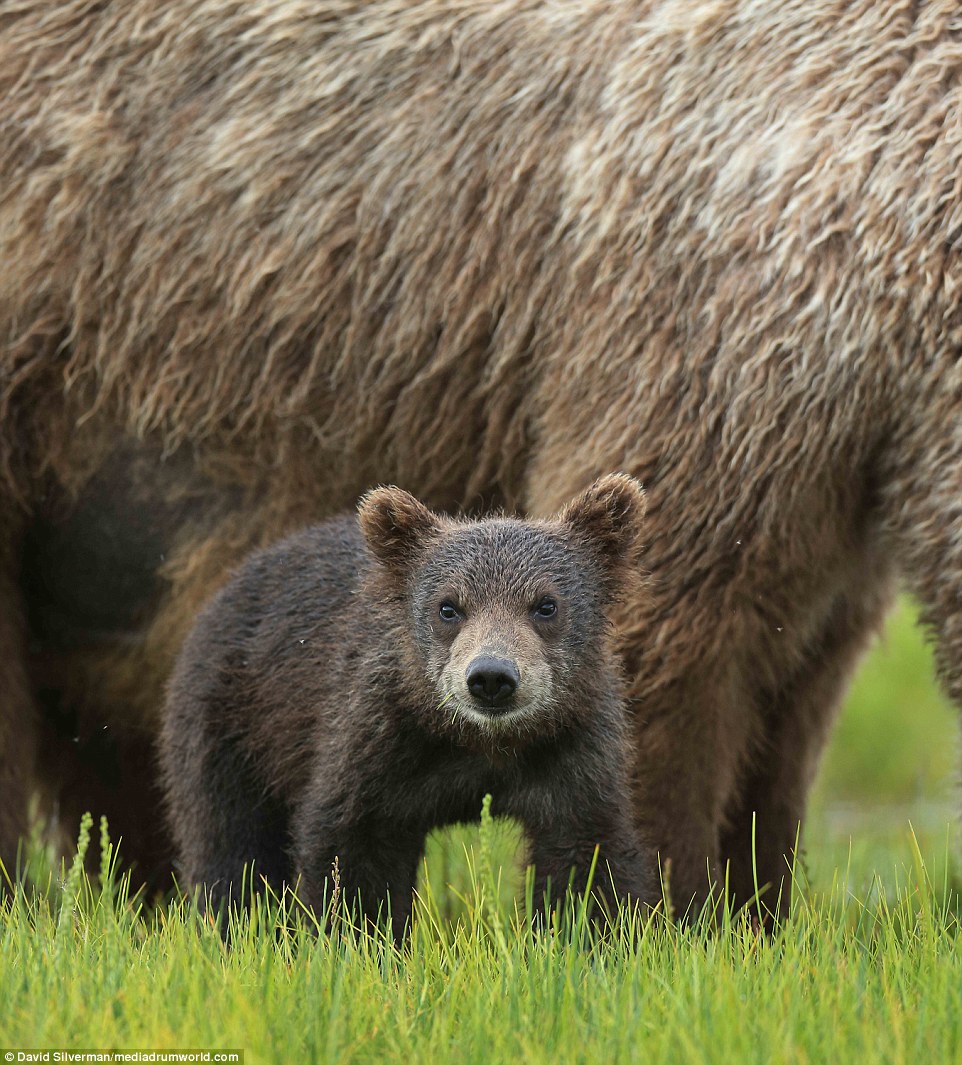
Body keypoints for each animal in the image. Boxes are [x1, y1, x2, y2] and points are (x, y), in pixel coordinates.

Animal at [1, 0, 962, 915]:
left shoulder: (830, 467)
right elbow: (675, 652)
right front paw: (676, 904)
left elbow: (792, 694)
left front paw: (754, 904)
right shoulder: (705, 324)